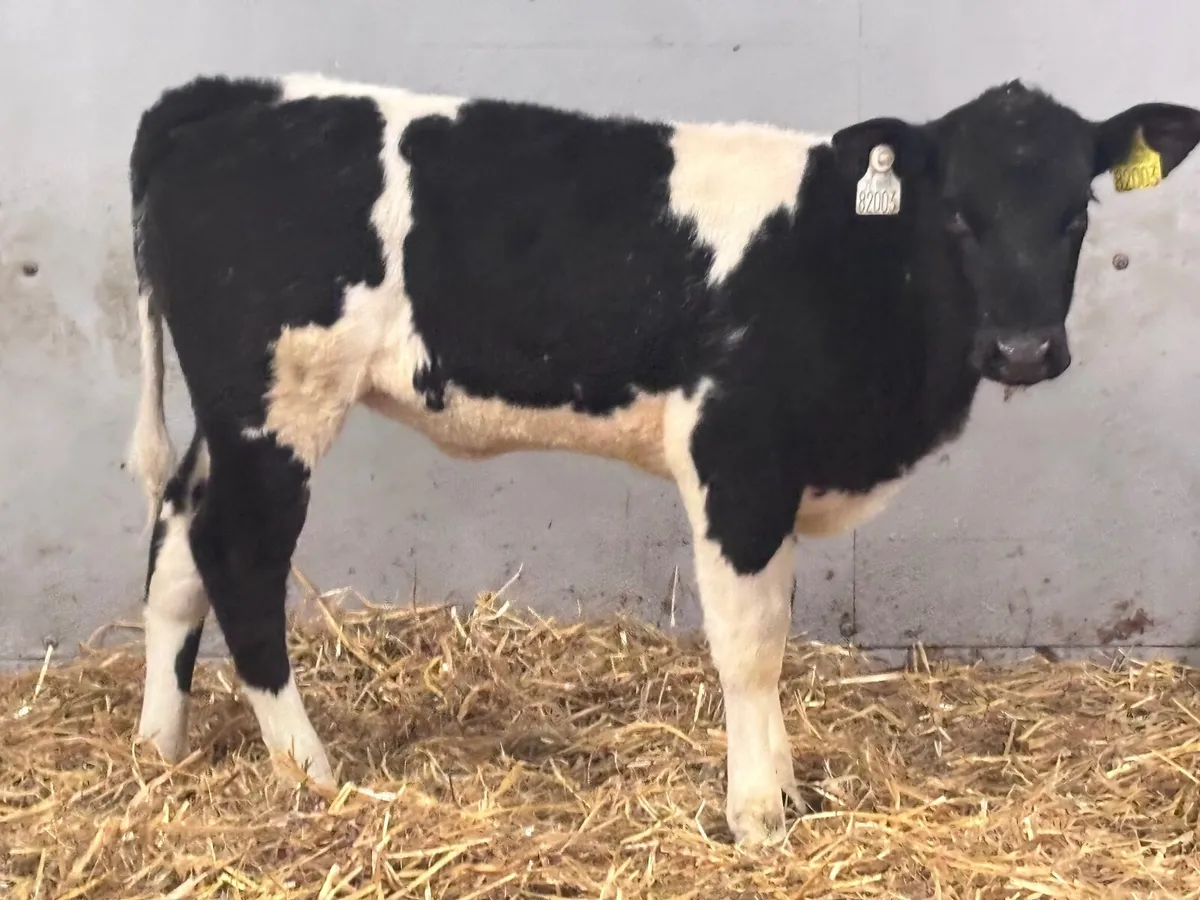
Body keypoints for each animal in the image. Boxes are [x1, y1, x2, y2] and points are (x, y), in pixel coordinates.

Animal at [125, 72, 1200, 846]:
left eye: (1077, 214)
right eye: (959, 215)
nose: (1023, 350)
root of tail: (222, 98)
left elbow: (775, 629)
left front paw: (786, 794)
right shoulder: (737, 458)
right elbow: (751, 643)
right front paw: (758, 816)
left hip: (232, 413)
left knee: (177, 539)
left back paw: (159, 752)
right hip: (279, 400)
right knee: (239, 560)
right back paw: (310, 771)